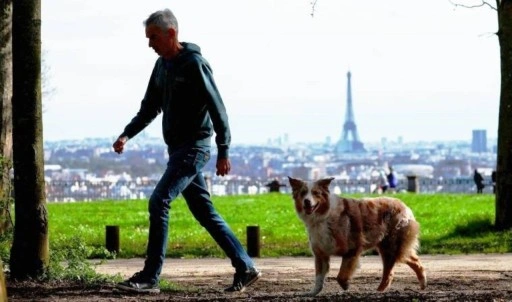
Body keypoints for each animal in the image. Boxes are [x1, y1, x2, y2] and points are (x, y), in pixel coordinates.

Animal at [288, 176, 428, 296]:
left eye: (316, 193)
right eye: (303, 193)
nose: (307, 201)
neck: (323, 217)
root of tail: (403, 205)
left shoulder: (352, 249)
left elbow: (341, 276)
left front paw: (346, 285)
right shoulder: (321, 254)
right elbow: (318, 278)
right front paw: (312, 292)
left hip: (391, 246)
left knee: (389, 272)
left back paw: (379, 291)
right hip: (390, 247)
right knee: (413, 261)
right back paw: (422, 284)